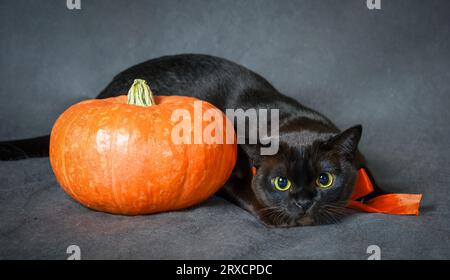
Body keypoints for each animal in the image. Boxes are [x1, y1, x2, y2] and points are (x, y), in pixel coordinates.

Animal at [0, 54, 380, 228]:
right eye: (282, 183)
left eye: (324, 179)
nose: (303, 203)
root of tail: (103, 92)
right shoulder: (228, 176)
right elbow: (250, 195)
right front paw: (276, 216)